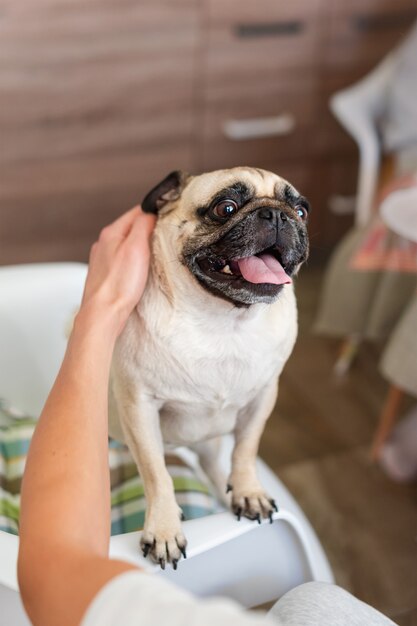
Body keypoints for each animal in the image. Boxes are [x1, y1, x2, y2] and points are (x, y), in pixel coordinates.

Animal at [108, 168, 308, 568]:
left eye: (301, 211)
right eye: (225, 207)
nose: (278, 215)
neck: (224, 322)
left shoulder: (263, 398)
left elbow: (245, 450)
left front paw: (248, 491)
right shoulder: (139, 408)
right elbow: (157, 473)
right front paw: (164, 529)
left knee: (215, 463)